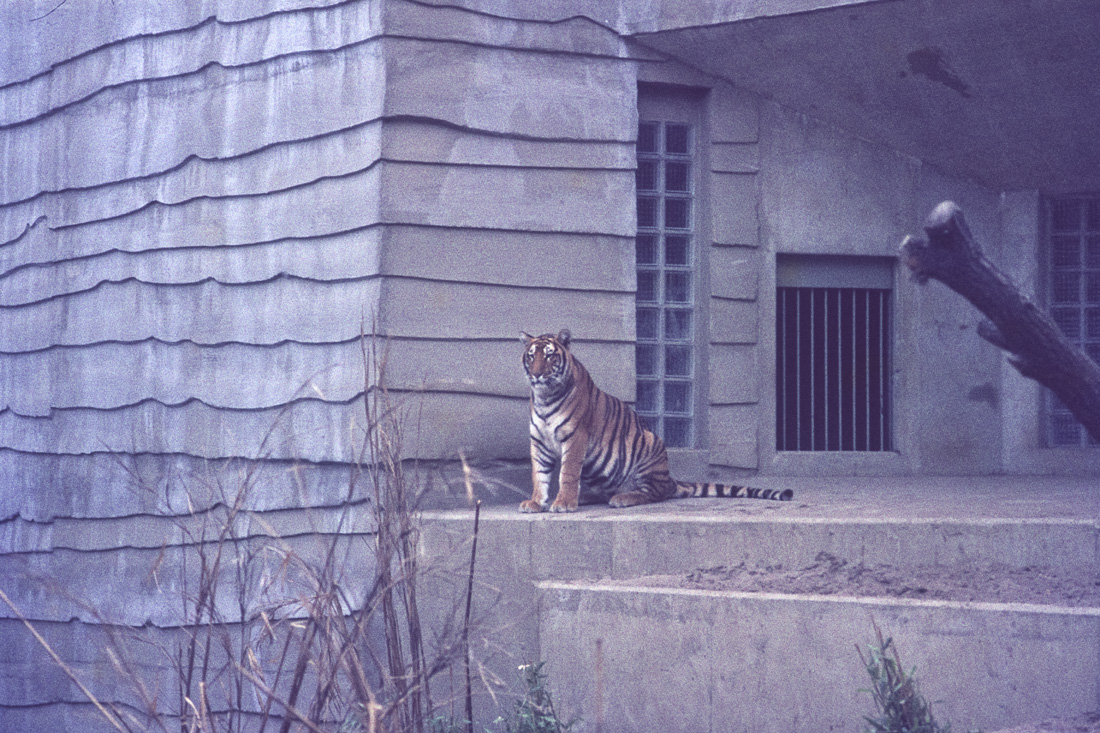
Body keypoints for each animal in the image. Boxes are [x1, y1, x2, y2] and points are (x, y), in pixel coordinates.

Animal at [514, 327, 792, 510]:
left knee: (655, 493)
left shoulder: (575, 438)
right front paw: (536, 502)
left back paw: (623, 498)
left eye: (550, 355)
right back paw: (588, 496)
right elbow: (539, 475)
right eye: (532, 356)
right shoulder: (538, 442)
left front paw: (563, 503)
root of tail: (670, 478)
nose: (537, 374)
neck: (545, 396)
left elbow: (568, 473)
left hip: (649, 445)